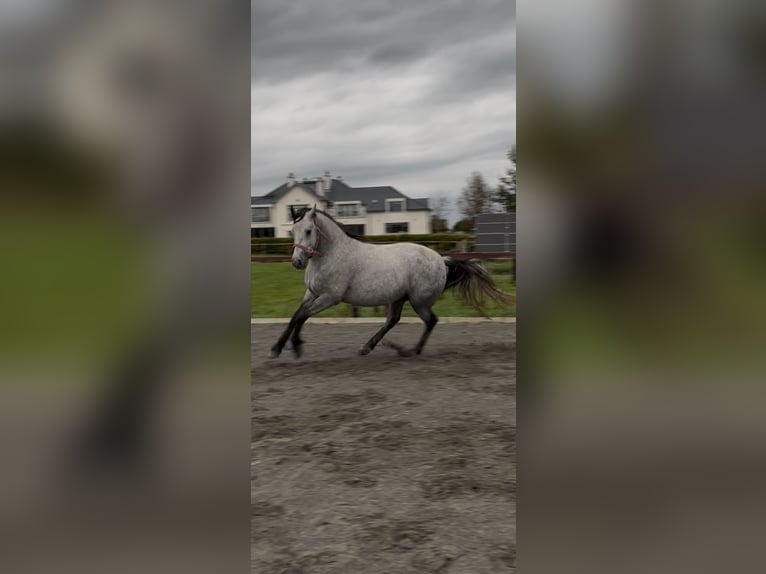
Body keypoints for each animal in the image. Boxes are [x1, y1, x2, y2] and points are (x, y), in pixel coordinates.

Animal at [269, 205, 513, 359]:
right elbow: (296, 316)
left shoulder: (330, 297)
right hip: (398, 298)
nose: (297, 262)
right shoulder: (311, 293)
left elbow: (302, 316)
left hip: (418, 301)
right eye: (292, 231)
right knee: (393, 320)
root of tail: (441, 260)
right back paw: (368, 347)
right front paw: (277, 348)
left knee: (431, 321)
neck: (332, 255)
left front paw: (296, 347)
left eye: (309, 230)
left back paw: (410, 351)